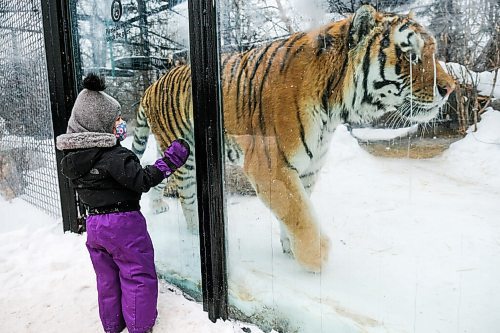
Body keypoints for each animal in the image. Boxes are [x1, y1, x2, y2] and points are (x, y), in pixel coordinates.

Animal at [132, 3, 458, 272]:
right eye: (411, 55)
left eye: (432, 52)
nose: (450, 88)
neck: (333, 108)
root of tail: (151, 85)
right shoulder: (269, 166)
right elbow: (298, 211)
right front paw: (316, 257)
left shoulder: (309, 167)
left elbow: (297, 208)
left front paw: (290, 247)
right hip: (185, 155)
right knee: (186, 195)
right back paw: (192, 231)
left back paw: (158, 206)